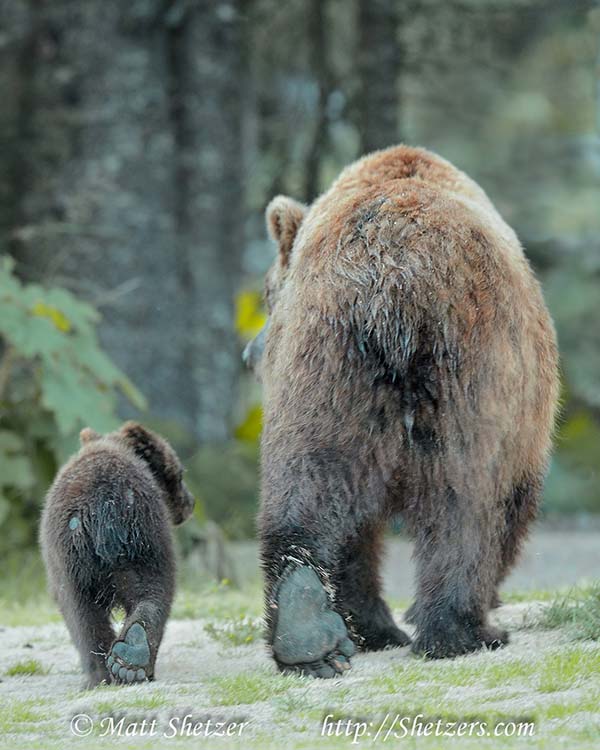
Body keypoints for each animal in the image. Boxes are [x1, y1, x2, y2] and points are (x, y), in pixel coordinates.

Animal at [245, 144, 556, 680]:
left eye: (265, 295)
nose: (250, 351)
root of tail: (393, 272)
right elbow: (509, 499)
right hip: (468, 362)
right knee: (466, 497)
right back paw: (462, 631)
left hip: (326, 363)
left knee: (309, 484)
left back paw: (314, 632)